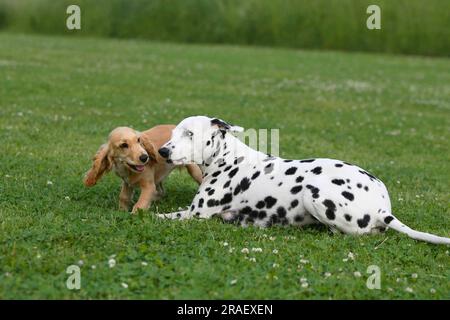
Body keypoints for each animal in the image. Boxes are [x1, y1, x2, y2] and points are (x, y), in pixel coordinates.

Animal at [158, 116, 450, 244]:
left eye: (190, 134)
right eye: (173, 133)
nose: (162, 151)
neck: (228, 157)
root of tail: (382, 208)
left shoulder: (195, 214)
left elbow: (155, 216)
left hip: (314, 192)